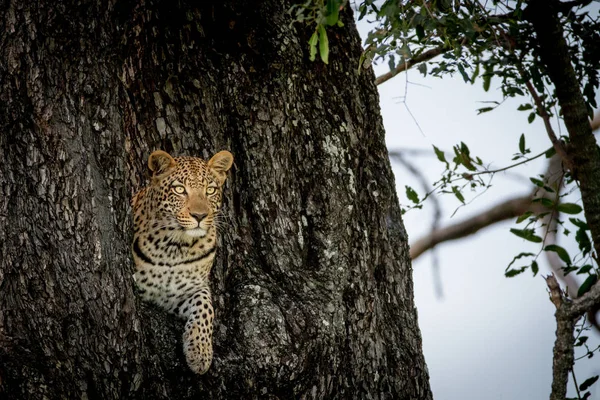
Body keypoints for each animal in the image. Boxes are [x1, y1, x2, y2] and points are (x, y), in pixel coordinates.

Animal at [131, 148, 232, 374]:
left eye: (210, 190)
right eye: (179, 189)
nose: (200, 215)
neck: (175, 247)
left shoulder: (187, 289)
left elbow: (206, 307)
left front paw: (200, 353)